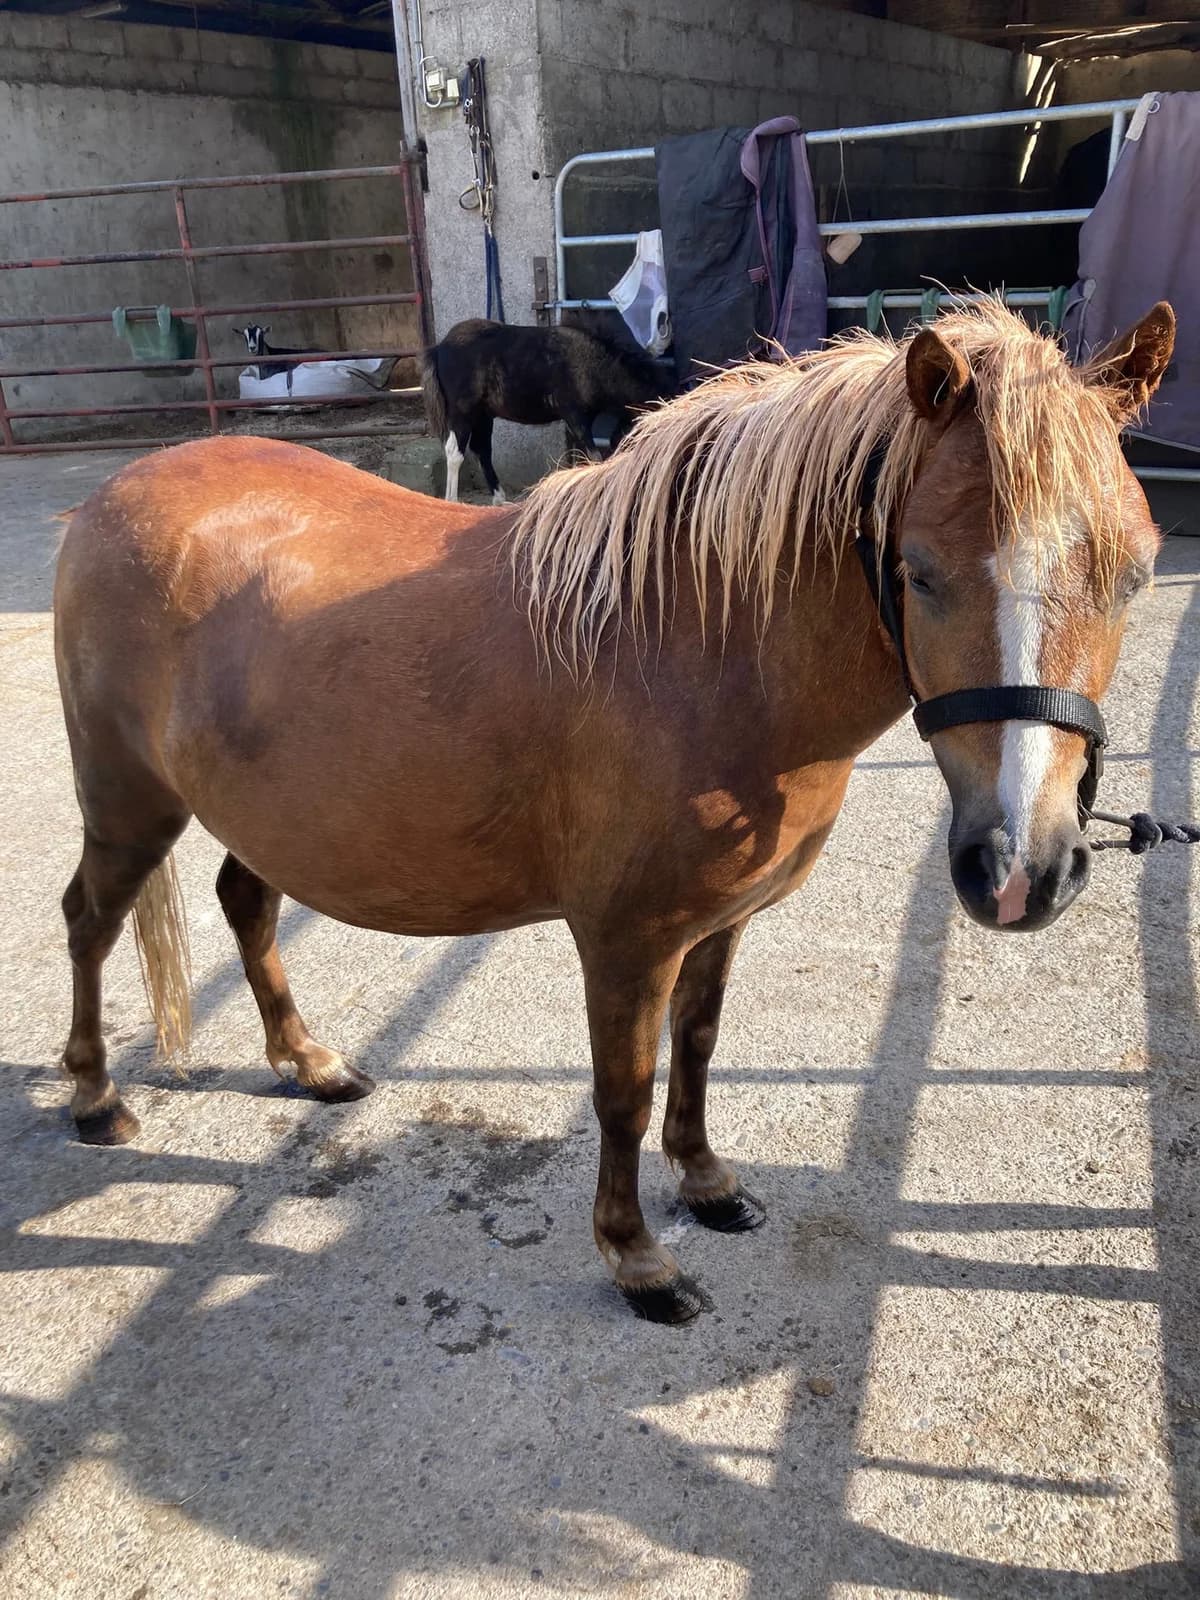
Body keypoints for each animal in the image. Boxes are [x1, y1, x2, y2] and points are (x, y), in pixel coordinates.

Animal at [420, 316, 675, 504]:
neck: (592, 363)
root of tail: (439, 348)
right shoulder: (574, 415)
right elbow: (594, 458)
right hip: (463, 412)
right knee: (455, 452)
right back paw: (452, 501)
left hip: (484, 415)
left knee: (482, 451)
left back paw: (500, 500)